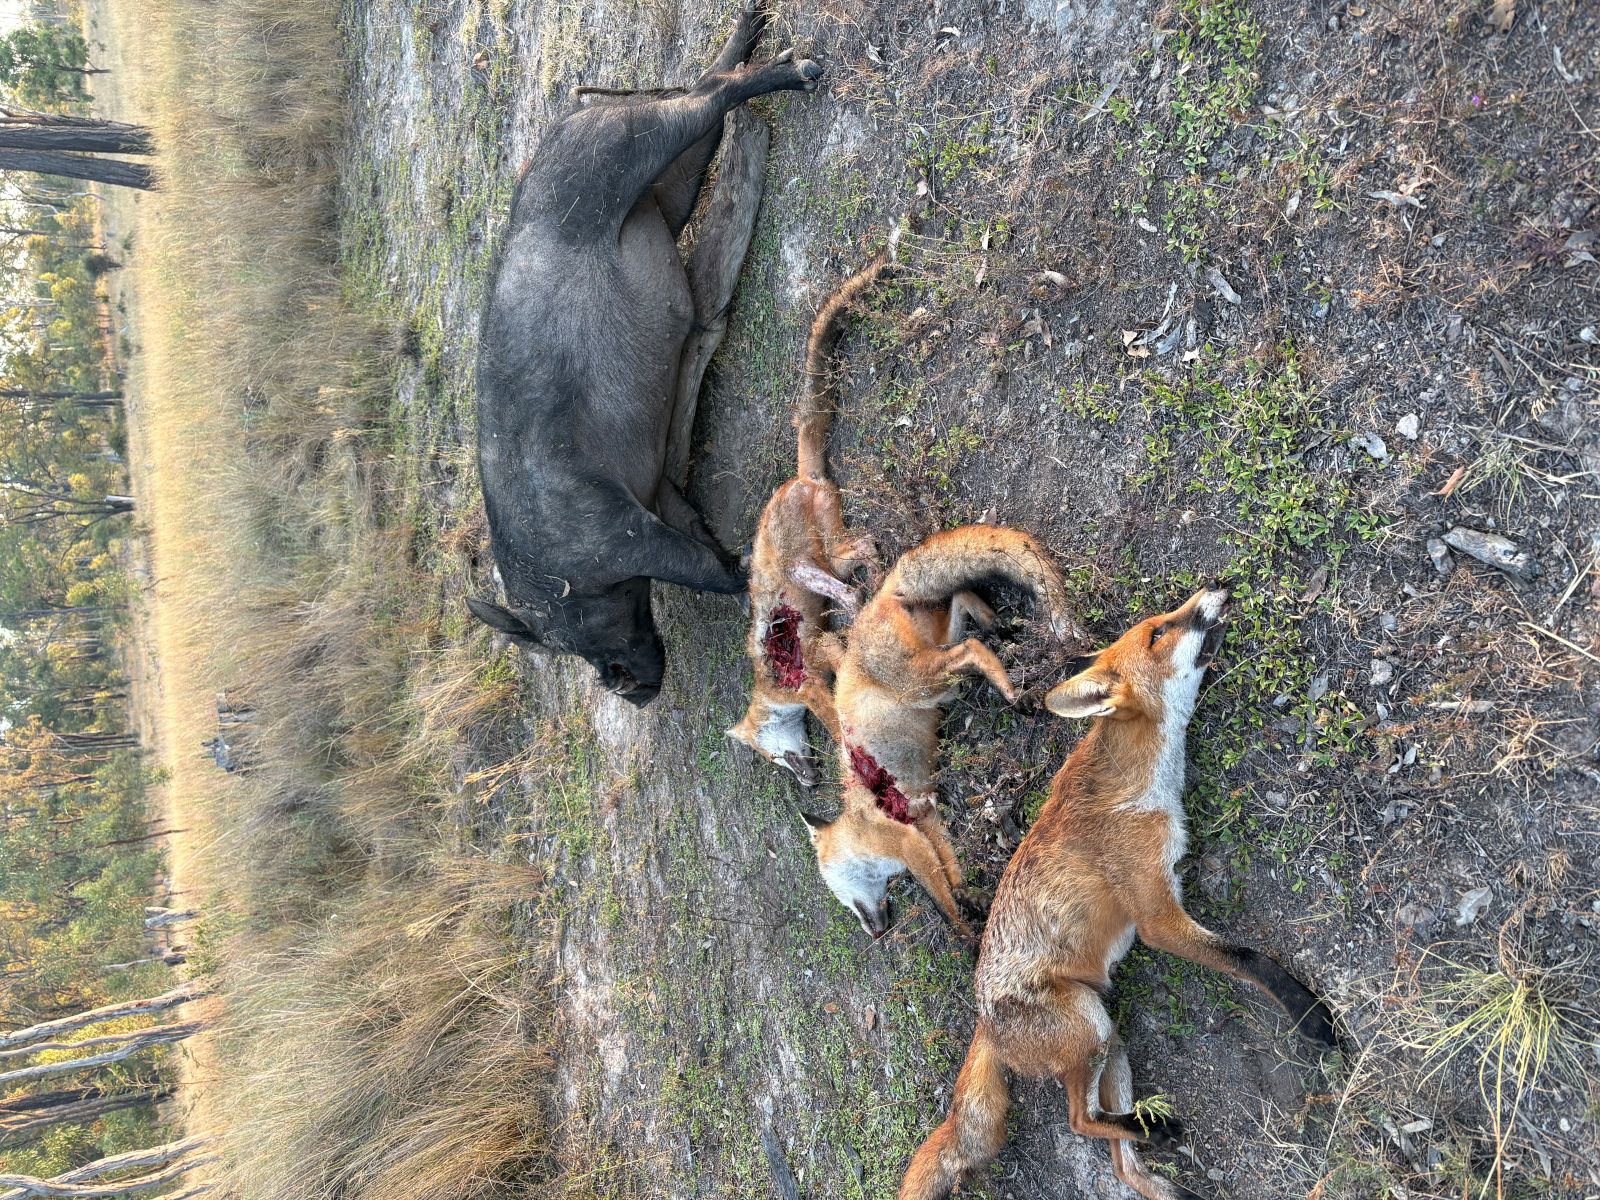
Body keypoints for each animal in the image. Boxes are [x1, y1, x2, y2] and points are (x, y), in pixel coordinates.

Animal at [725, 248, 892, 786]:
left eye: (771, 756)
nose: (803, 781)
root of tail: (798, 477)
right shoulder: (821, 652)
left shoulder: (809, 676)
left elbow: (836, 719)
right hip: (828, 558)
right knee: (862, 554)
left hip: (814, 559)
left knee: (864, 551)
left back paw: (867, 596)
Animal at [804, 525, 1082, 941]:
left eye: (837, 893)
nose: (873, 933)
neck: (863, 821)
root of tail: (874, 600)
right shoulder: (928, 822)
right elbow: (952, 871)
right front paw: (971, 896)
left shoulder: (906, 843)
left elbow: (942, 904)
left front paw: (968, 939)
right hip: (938, 662)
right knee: (962, 602)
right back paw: (996, 625)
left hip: (923, 683)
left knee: (972, 648)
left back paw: (1014, 695)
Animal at [898, 585, 1339, 1200]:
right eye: (1158, 632)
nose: (1218, 587)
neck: (1146, 781)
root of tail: (984, 1018)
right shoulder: (1156, 916)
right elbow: (1249, 958)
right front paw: (1310, 1014)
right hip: (1089, 1026)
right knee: (1079, 1122)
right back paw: (1150, 1130)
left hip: (1111, 1038)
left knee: (1119, 1160)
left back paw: (1161, 1167)